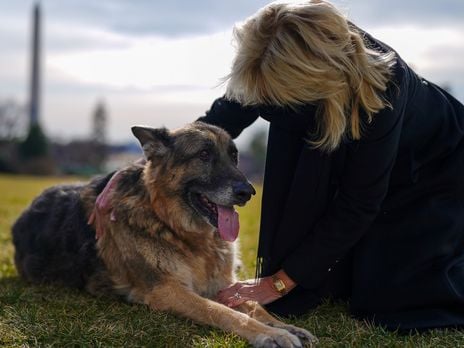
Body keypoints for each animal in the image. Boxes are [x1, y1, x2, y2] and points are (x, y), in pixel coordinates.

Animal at [11, 121, 316, 346]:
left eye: (234, 156)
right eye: (204, 155)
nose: (248, 192)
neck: (174, 227)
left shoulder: (224, 285)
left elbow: (254, 305)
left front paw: (285, 326)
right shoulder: (168, 290)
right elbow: (223, 312)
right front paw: (271, 334)